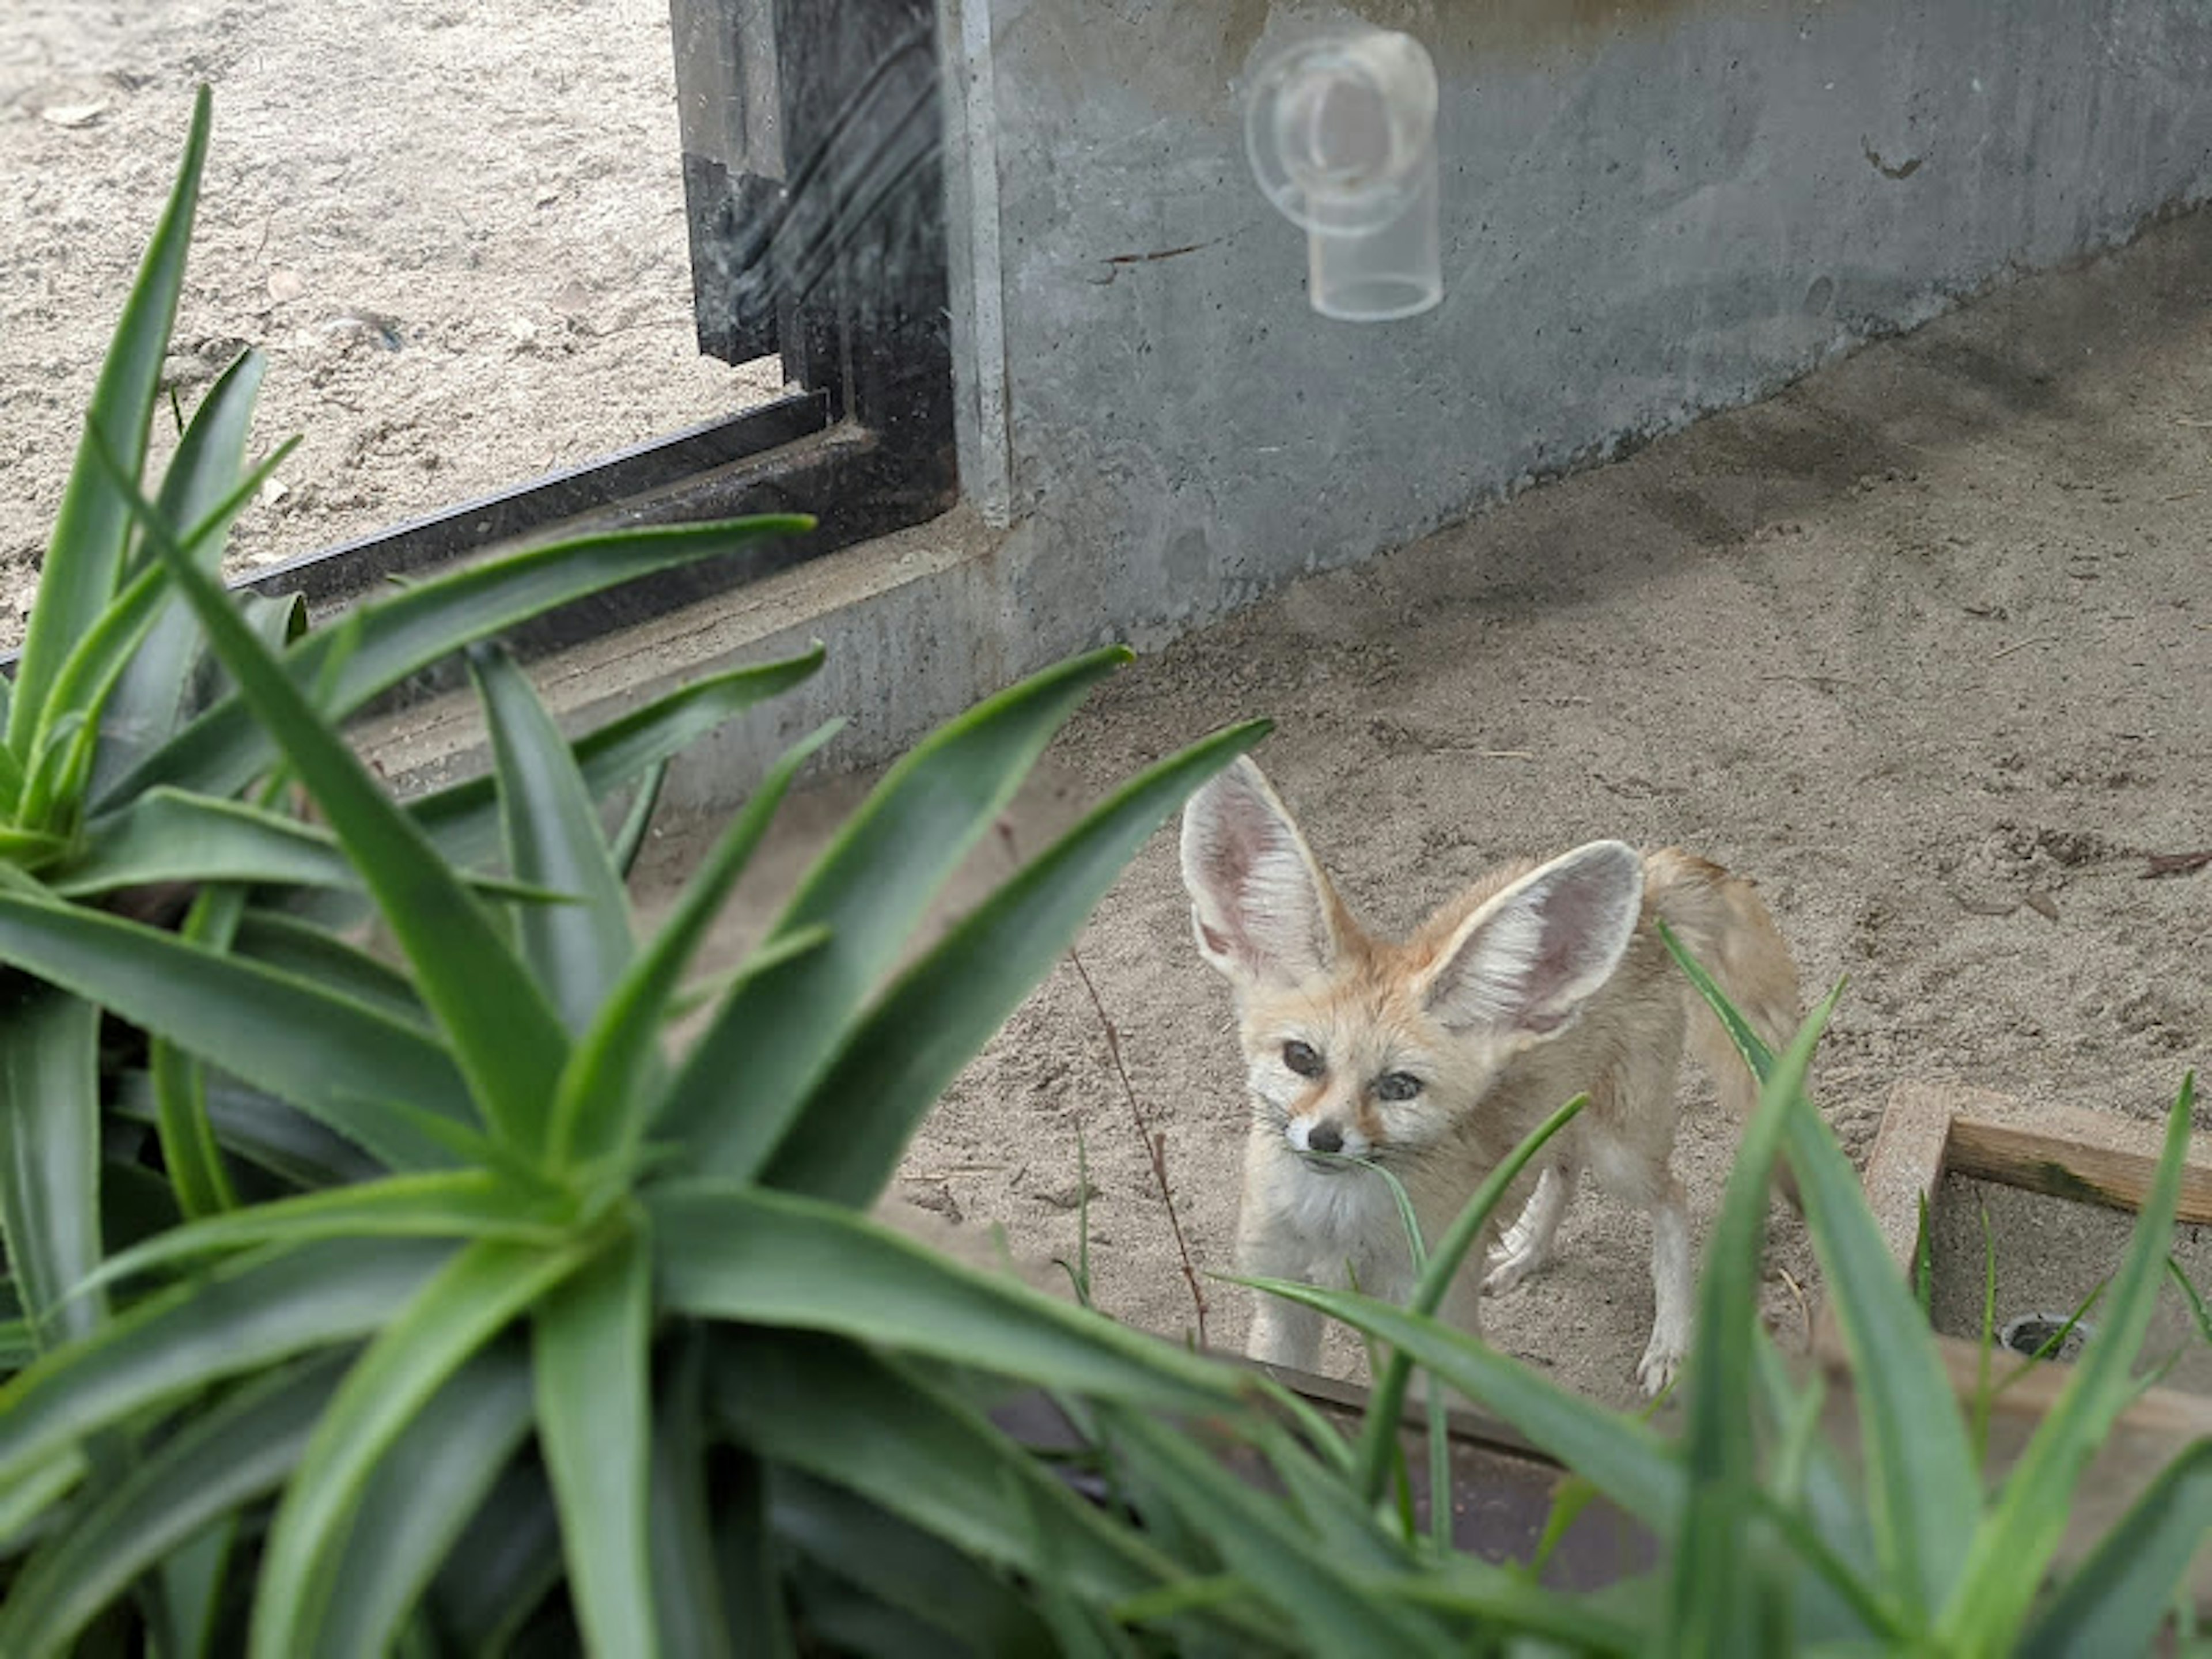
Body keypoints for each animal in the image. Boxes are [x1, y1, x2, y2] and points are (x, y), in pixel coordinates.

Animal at [1176, 760, 1796, 1397]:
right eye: (1302, 1058)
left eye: (1399, 1086)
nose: (1325, 1139)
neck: (1337, 1229)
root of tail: (1648, 886)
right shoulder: (1281, 1306)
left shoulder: (1430, 1328)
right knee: (1563, 1168)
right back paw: (1526, 1248)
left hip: (1620, 1153)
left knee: (1673, 1198)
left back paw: (1671, 1337)